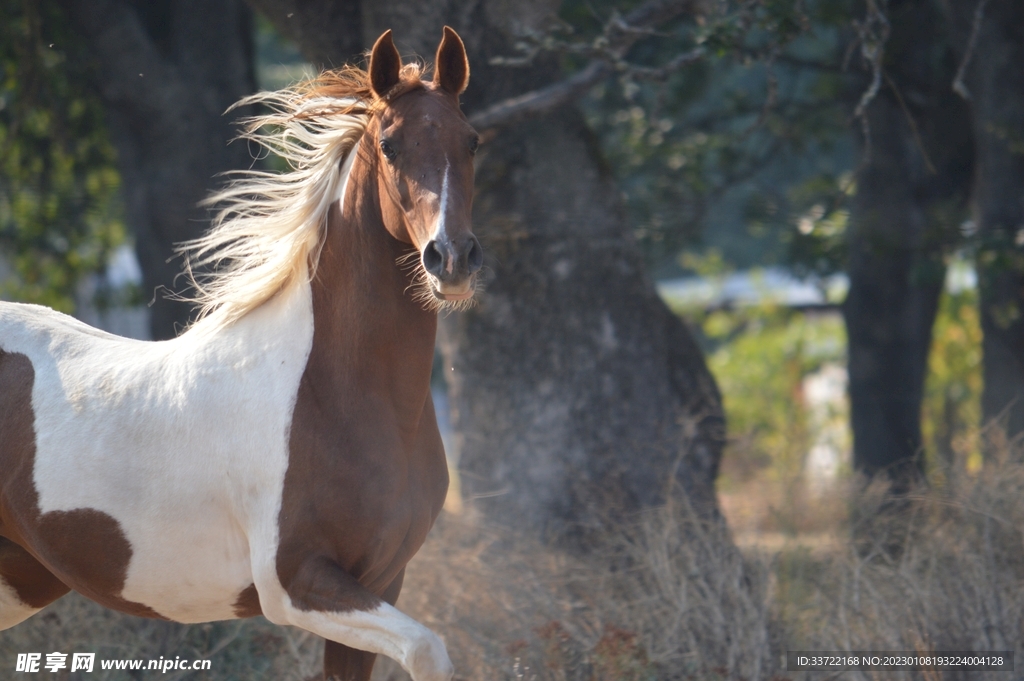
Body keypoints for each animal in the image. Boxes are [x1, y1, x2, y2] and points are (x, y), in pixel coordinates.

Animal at [0, 27, 479, 681]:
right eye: (390, 145)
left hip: (19, 578)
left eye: (471, 141)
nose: (451, 259)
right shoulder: (297, 583)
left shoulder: (383, 579)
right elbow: (429, 649)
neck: (331, 396)